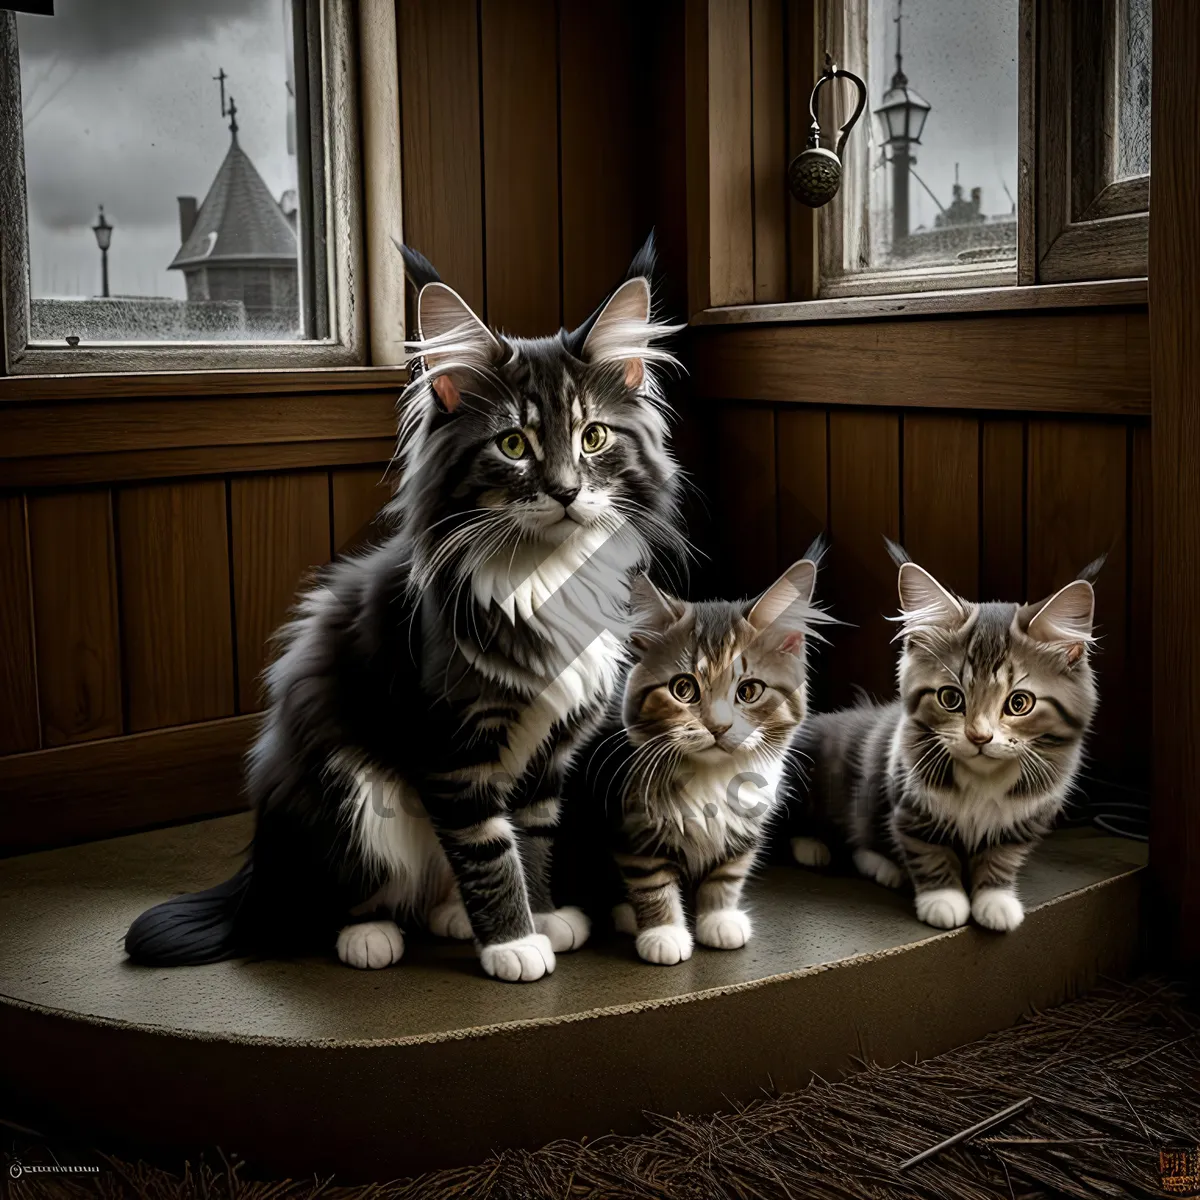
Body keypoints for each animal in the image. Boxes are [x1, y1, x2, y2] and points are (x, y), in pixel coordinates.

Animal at [124, 236, 686, 984]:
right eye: (514, 445)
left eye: (593, 437)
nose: (566, 491)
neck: (544, 575)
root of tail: (260, 869)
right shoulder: (450, 749)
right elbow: (488, 850)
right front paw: (513, 943)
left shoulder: (547, 758)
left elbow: (531, 838)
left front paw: (545, 916)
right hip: (349, 791)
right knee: (349, 896)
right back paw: (370, 937)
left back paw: (450, 917)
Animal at [561, 552, 825, 964]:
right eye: (683, 689)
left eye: (749, 691)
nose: (718, 726)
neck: (711, 778)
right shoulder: (632, 823)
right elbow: (651, 879)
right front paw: (664, 933)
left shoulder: (746, 823)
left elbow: (728, 873)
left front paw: (719, 918)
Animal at [782, 547, 1099, 936]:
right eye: (951, 698)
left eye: (1019, 703)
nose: (979, 736)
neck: (983, 779)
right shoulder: (910, 803)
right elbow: (929, 852)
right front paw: (943, 900)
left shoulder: (1023, 822)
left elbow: (1001, 858)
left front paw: (996, 900)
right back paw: (820, 849)